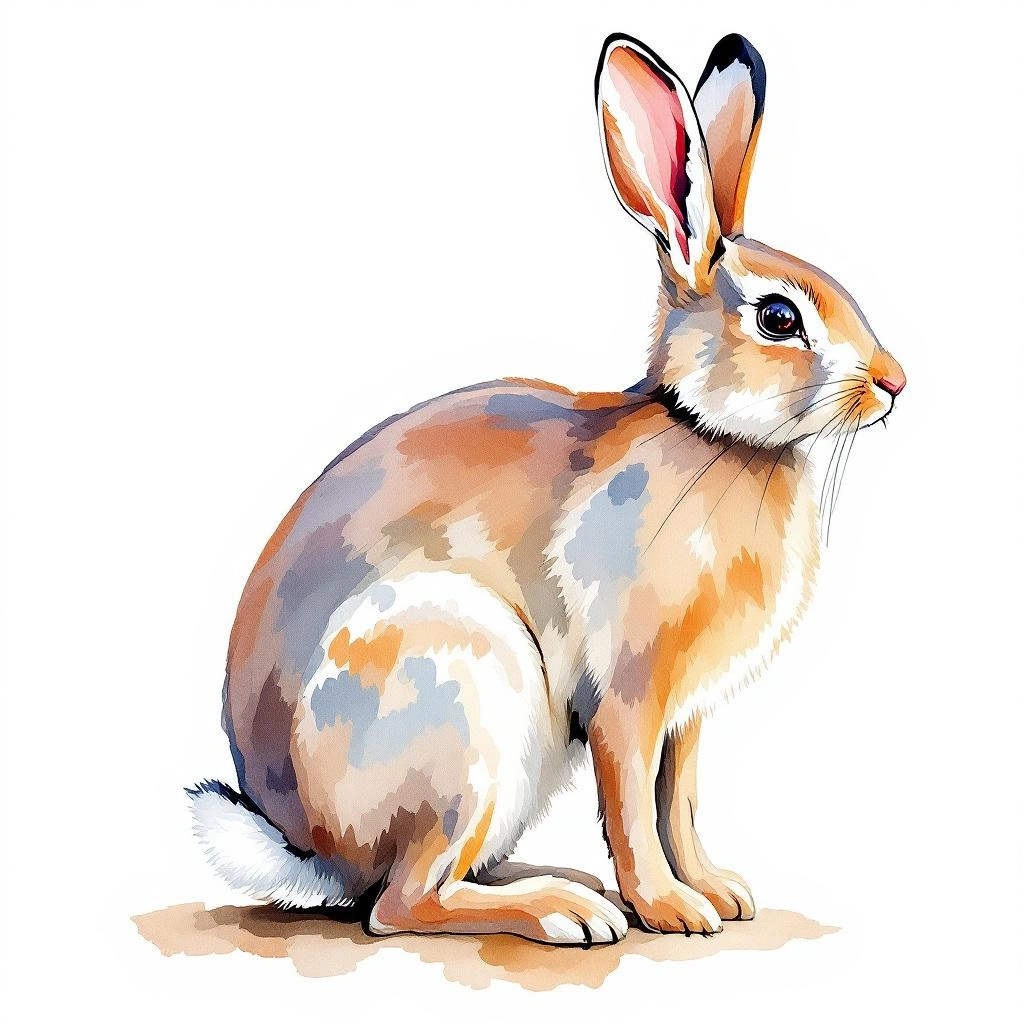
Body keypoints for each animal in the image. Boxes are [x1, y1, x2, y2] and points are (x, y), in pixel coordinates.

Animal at [189, 32, 905, 945]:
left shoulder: (687, 718)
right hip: (465, 700)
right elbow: (634, 807)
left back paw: (556, 882)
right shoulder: (628, 698)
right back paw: (567, 911)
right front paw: (671, 910)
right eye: (780, 319)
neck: (712, 435)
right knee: (400, 902)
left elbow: (680, 803)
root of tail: (307, 843)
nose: (895, 383)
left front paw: (720, 892)